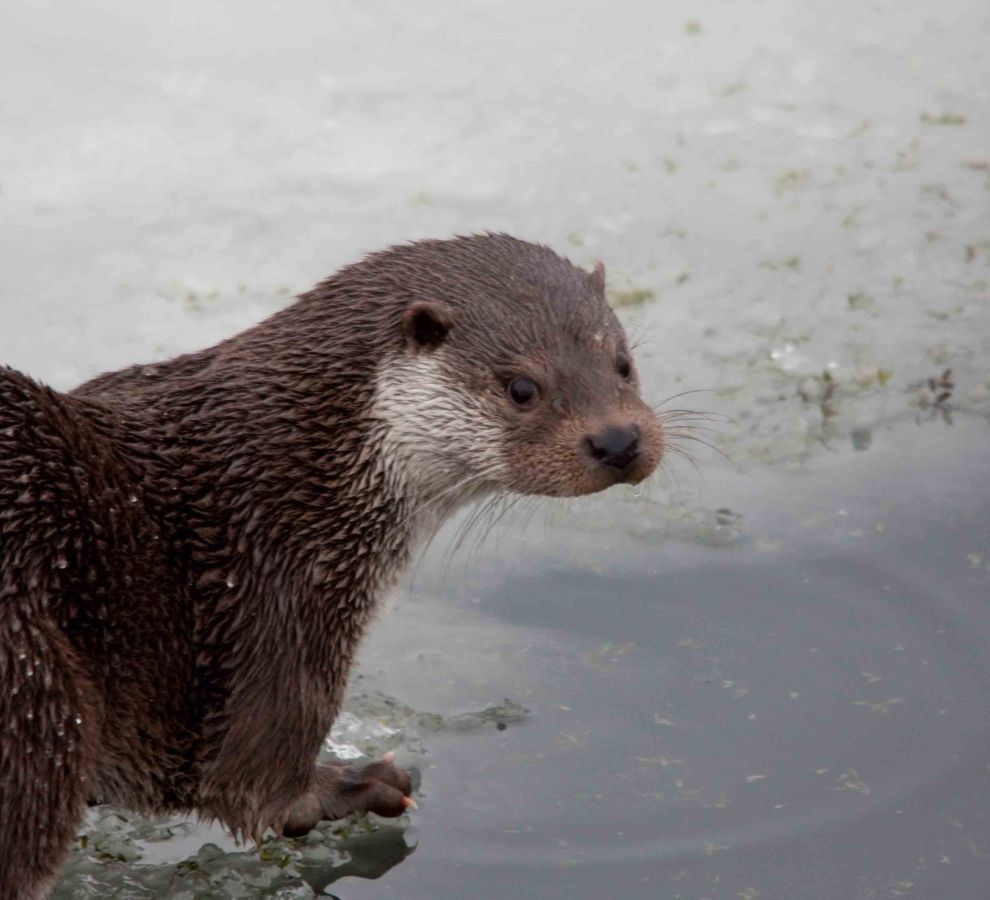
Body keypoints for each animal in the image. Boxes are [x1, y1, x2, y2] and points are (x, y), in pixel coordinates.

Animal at [0, 234, 663, 898]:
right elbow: (250, 776)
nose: (618, 441)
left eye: (622, 361)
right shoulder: (275, 597)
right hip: (39, 694)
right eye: (521, 388)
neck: (304, 469)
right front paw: (350, 787)